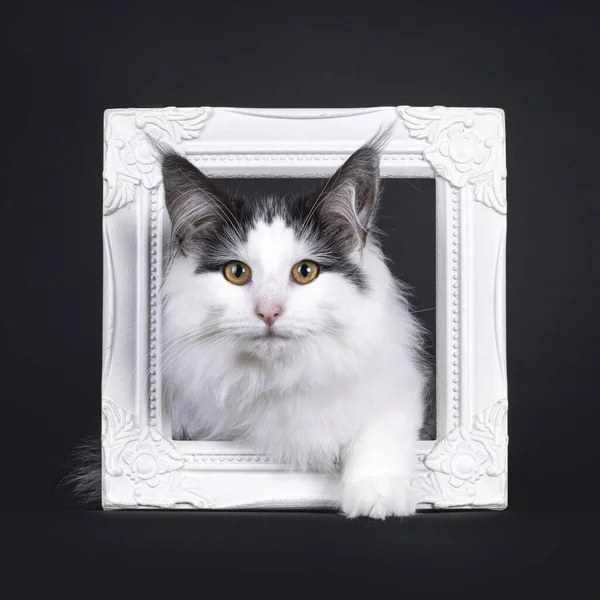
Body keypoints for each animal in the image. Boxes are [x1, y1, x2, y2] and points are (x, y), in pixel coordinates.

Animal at [159, 129, 428, 516]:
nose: (269, 311)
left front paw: (377, 497)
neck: (280, 377)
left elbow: (381, 429)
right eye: (236, 272)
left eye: (305, 271)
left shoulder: (399, 385)